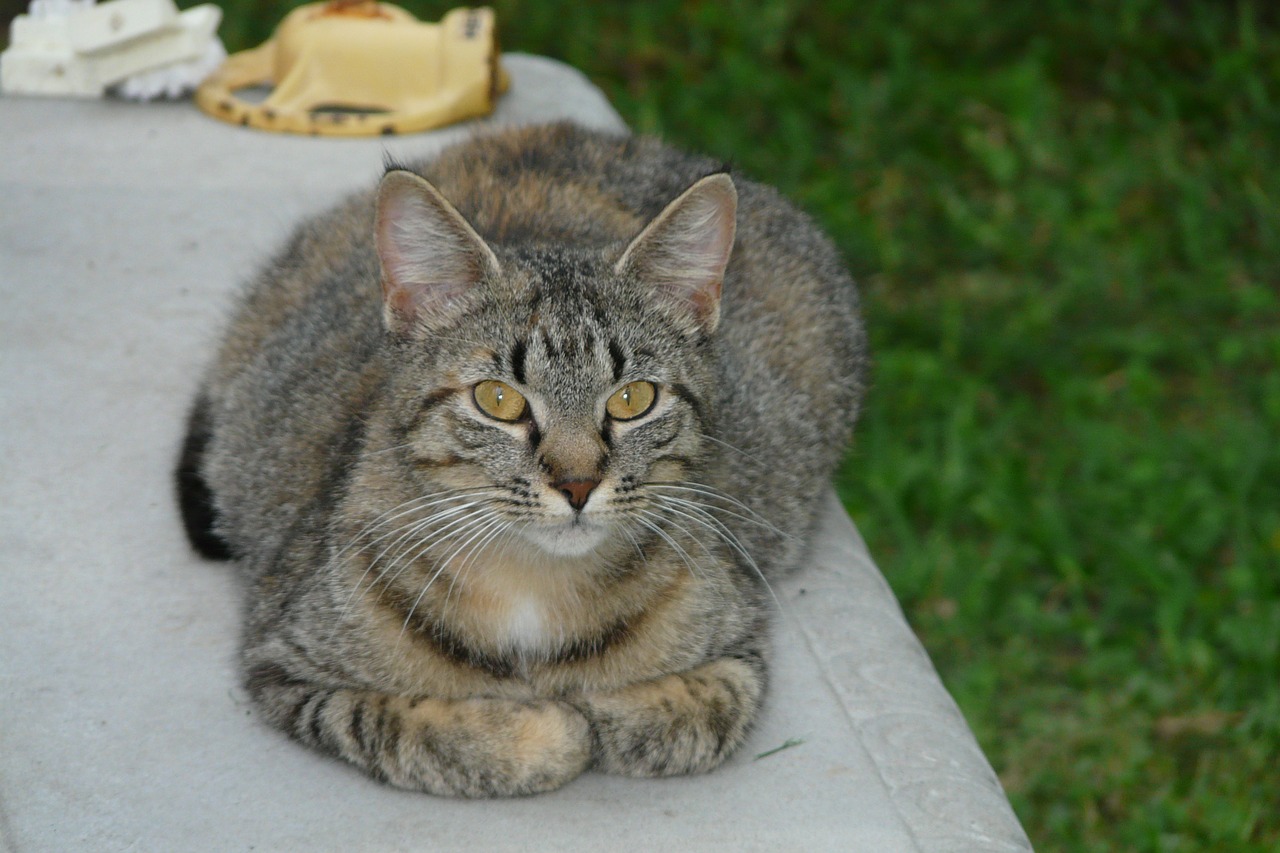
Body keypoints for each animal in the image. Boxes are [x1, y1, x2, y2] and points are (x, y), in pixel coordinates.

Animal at [175, 122, 865, 794]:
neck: (531, 585)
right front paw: (534, 730)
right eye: (498, 400)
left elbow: (687, 717)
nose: (578, 483)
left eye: (633, 398)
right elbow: (412, 730)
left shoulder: (741, 648)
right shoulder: (284, 664)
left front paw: (599, 709)